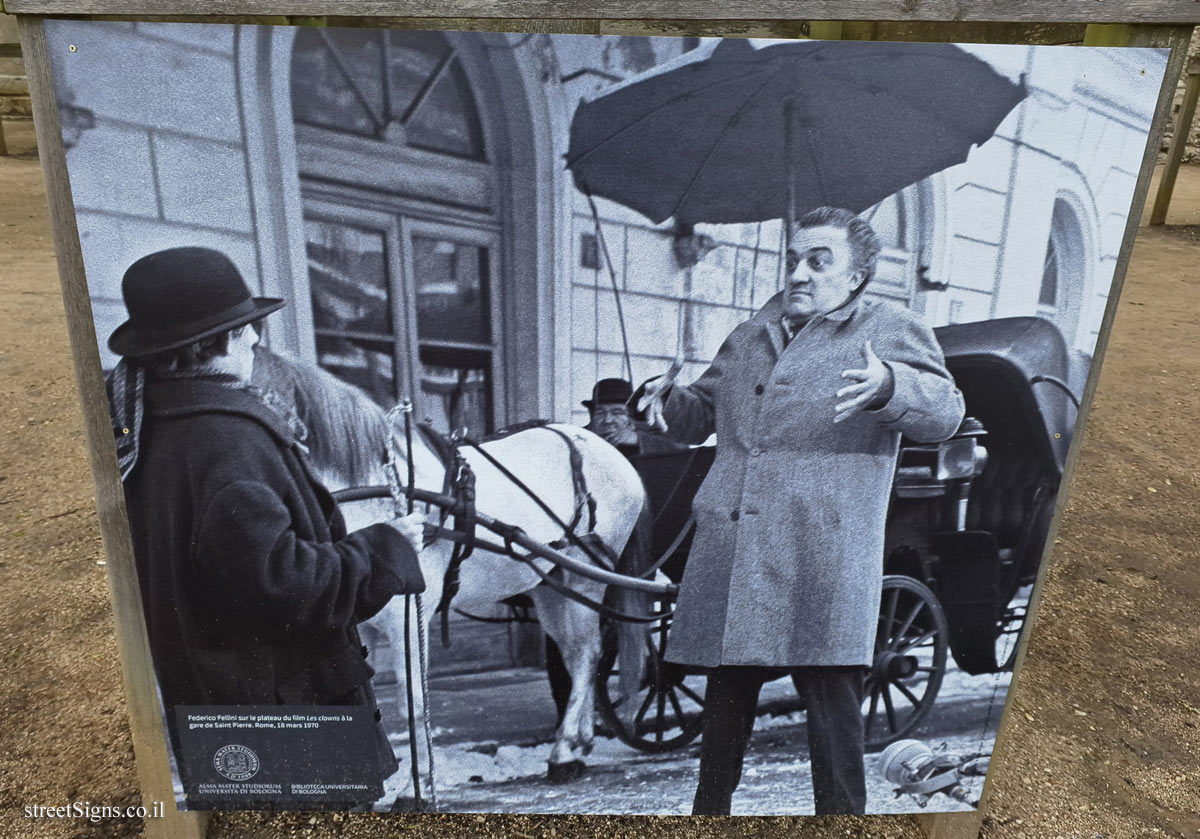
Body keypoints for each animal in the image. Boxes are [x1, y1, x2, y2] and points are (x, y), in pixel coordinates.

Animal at [250, 348, 648, 792]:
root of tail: (605, 448)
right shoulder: (357, 620)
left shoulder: (408, 615)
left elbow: (414, 702)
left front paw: (416, 787)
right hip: (552, 583)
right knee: (576, 652)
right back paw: (575, 744)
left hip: (587, 575)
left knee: (588, 653)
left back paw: (566, 751)